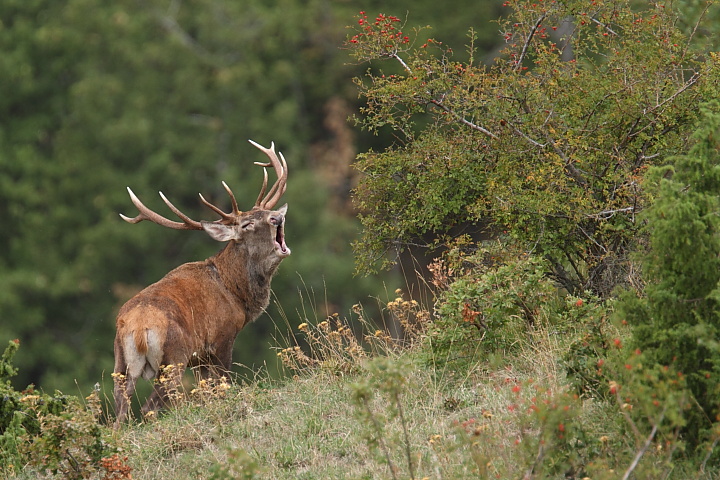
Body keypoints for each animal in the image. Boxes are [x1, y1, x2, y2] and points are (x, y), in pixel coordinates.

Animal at [112, 139, 290, 428]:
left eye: (266, 212)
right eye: (247, 224)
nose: (277, 217)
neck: (235, 293)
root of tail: (139, 328)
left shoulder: (199, 358)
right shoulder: (221, 338)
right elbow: (222, 387)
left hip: (120, 360)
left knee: (121, 407)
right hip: (174, 356)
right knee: (154, 404)